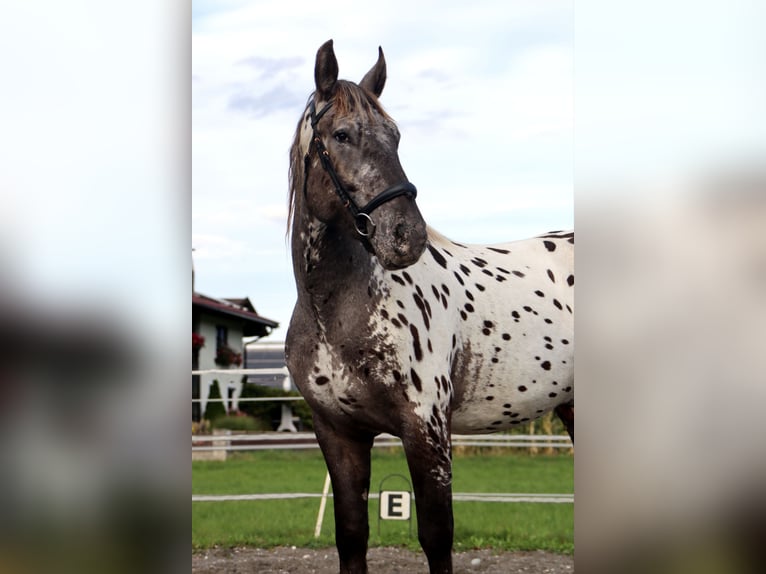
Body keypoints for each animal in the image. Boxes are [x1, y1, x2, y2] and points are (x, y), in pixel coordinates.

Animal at [284, 38, 572, 572]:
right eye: (342, 134)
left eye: (396, 137)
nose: (407, 235)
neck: (335, 313)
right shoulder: (337, 434)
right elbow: (351, 536)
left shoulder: (426, 428)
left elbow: (437, 536)